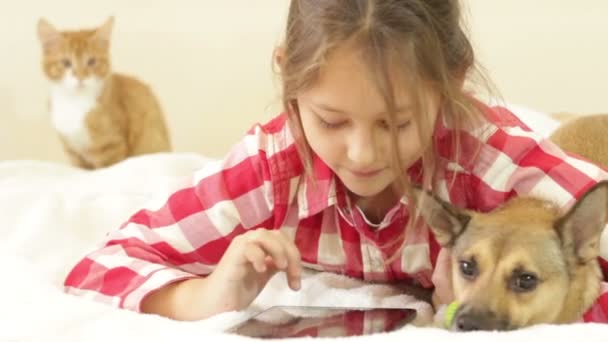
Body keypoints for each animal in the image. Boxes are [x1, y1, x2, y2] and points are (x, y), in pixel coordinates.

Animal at [36, 17, 171, 170]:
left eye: (91, 61)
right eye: (66, 62)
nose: (81, 76)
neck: (75, 101)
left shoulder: (112, 145)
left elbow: (107, 167)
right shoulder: (73, 152)